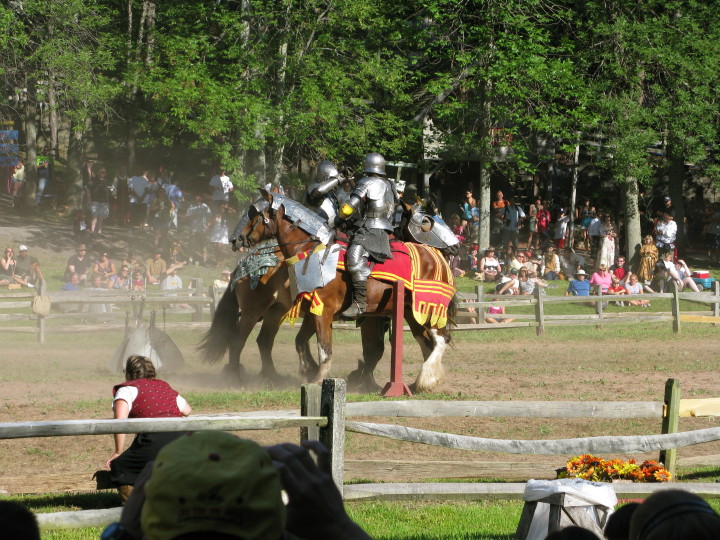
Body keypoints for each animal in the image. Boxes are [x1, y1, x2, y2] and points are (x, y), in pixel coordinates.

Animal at [242, 190, 456, 392]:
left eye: (256, 215)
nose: (242, 238)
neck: (310, 249)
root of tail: (436, 256)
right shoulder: (314, 310)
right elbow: (301, 342)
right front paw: (310, 371)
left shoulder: (324, 311)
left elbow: (326, 350)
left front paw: (319, 380)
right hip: (413, 313)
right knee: (427, 343)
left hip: (429, 308)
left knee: (441, 339)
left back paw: (426, 378)